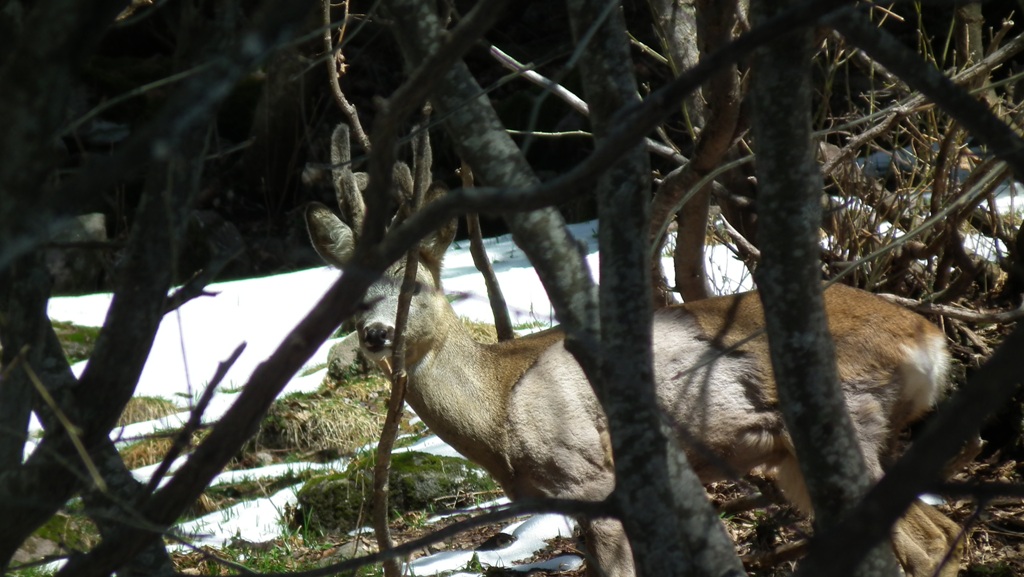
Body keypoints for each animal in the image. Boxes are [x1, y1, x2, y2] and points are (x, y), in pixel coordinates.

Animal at [301, 124, 958, 573]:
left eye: (415, 286)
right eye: (351, 297)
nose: (376, 334)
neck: (500, 410)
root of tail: (929, 338)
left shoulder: (592, 476)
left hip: (849, 419)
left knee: (932, 540)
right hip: (794, 457)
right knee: (941, 529)